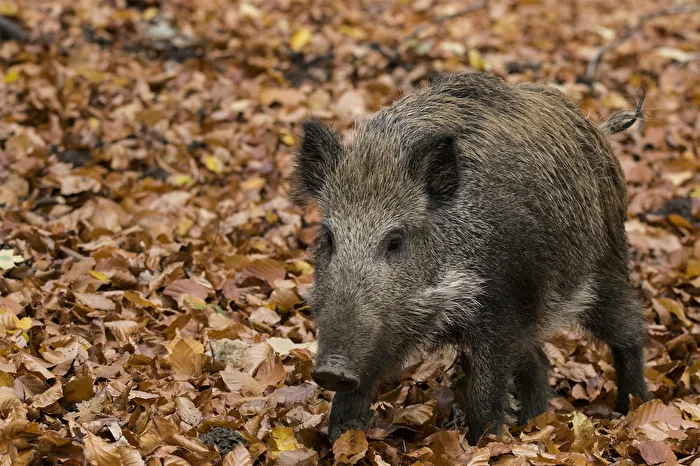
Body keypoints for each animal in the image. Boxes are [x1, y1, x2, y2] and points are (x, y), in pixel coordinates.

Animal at [290, 72, 649, 444]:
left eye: (395, 241)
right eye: (329, 237)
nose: (331, 370)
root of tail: (598, 129)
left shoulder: (501, 306)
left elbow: (486, 392)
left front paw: (484, 444)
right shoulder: (388, 330)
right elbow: (357, 389)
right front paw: (342, 438)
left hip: (605, 267)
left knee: (630, 329)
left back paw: (633, 408)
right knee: (538, 363)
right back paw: (532, 426)